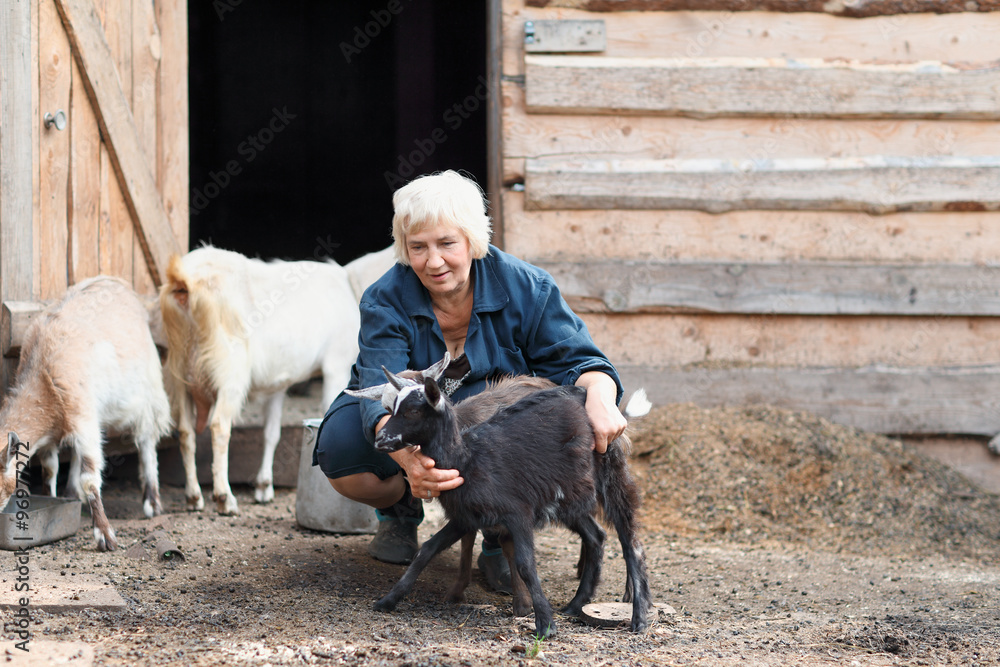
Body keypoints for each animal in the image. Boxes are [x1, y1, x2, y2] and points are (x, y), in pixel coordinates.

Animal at [0, 278, 171, 552]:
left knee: (147, 442)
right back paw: (71, 494)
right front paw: (54, 500)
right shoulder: (55, 432)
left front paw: (105, 536)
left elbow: (90, 478)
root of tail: (118, 283)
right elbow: (50, 470)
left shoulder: (83, 418)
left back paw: (152, 503)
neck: (43, 380)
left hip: (147, 391)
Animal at [158, 248, 388, 516]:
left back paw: (193, 496)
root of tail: (185, 280)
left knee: (185, 432)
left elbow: (271, 433)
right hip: (229, 371)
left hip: (179, 372)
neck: (351, 285)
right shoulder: (336, 364)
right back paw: (225, 498)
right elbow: (324, 412)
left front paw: (264, 487)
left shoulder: (278, 383)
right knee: (219, 427)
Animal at [372, 374, 652, 640]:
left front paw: (545, 626)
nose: (379, 440)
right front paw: (387, 600)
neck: (466, 460)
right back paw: (575, 605)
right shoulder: (465, 518)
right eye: (392, 408)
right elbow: (427, 550)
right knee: (596, 536)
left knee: (631, 543)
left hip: (610, 474)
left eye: (413, 411)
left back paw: (639, 618)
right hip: (569, 494)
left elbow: (526, 564)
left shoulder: (518, 513)